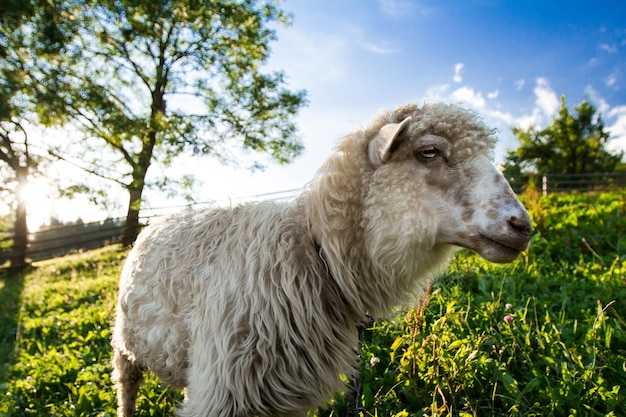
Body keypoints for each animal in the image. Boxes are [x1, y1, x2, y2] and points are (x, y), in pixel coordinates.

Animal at [112, 101, 532, 416]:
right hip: (125, 346)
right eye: (429, 151)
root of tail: (154, 222)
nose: (522, 225)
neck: (318, 254)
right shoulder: (222, 390)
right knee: (126, 389)